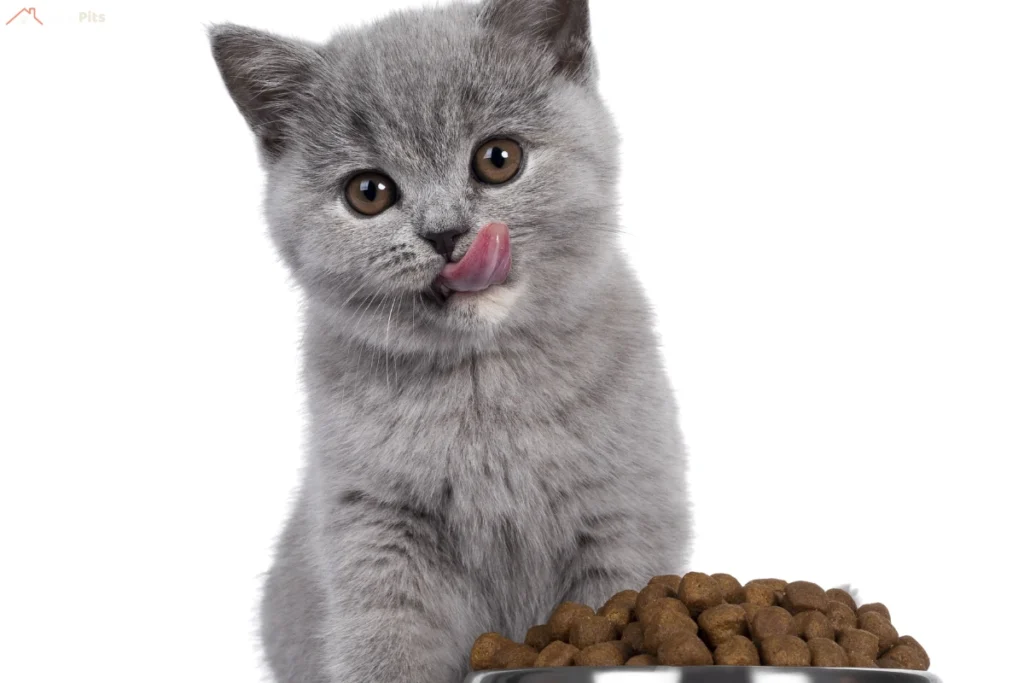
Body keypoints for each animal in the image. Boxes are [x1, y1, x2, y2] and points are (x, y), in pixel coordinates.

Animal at [206, 1, 688, 683]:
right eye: (369, 192)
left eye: (498, 158)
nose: (445, 233)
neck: (481, 386)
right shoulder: (376, 529)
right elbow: (386, 645)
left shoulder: (626, 517)